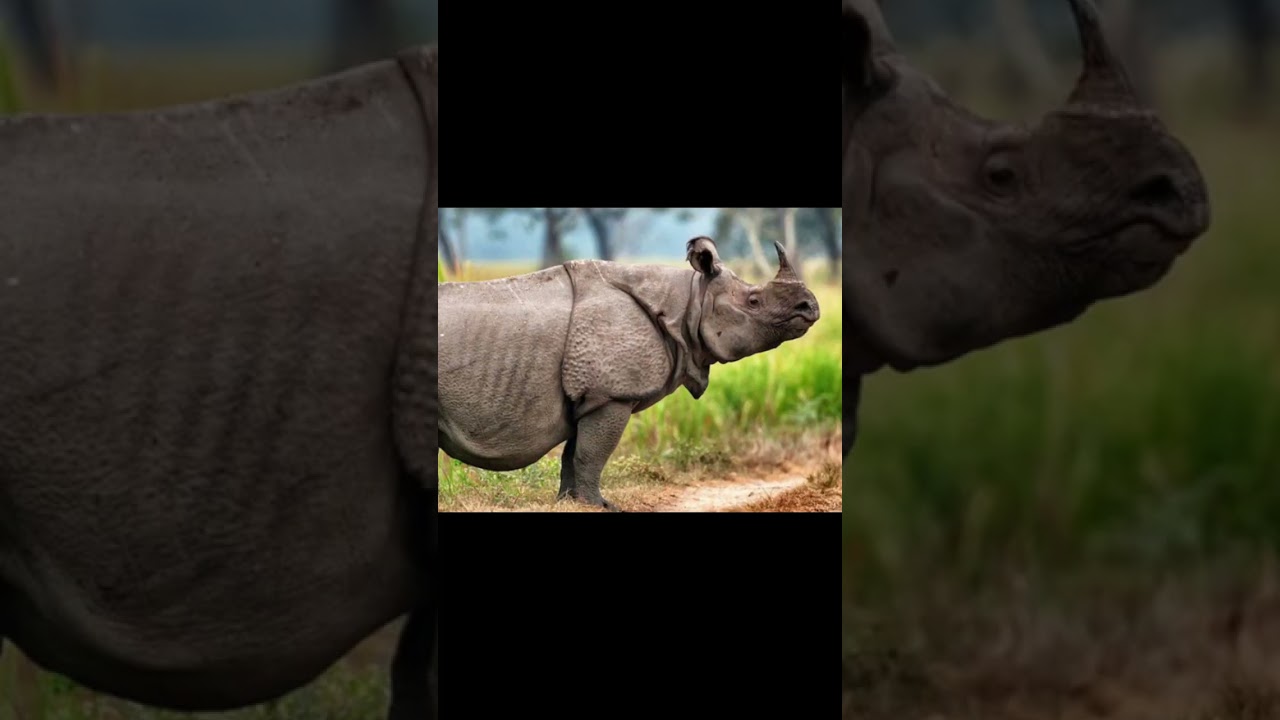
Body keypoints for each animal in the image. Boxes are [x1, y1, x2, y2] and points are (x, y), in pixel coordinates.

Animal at [439, 236, 821, 511]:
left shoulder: (592, 396)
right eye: (754, 301)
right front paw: (599, 506)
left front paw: (572, 503)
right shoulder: (612, 394)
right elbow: (592, 453)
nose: (810, 308)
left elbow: (574, 453)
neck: (687, 303)